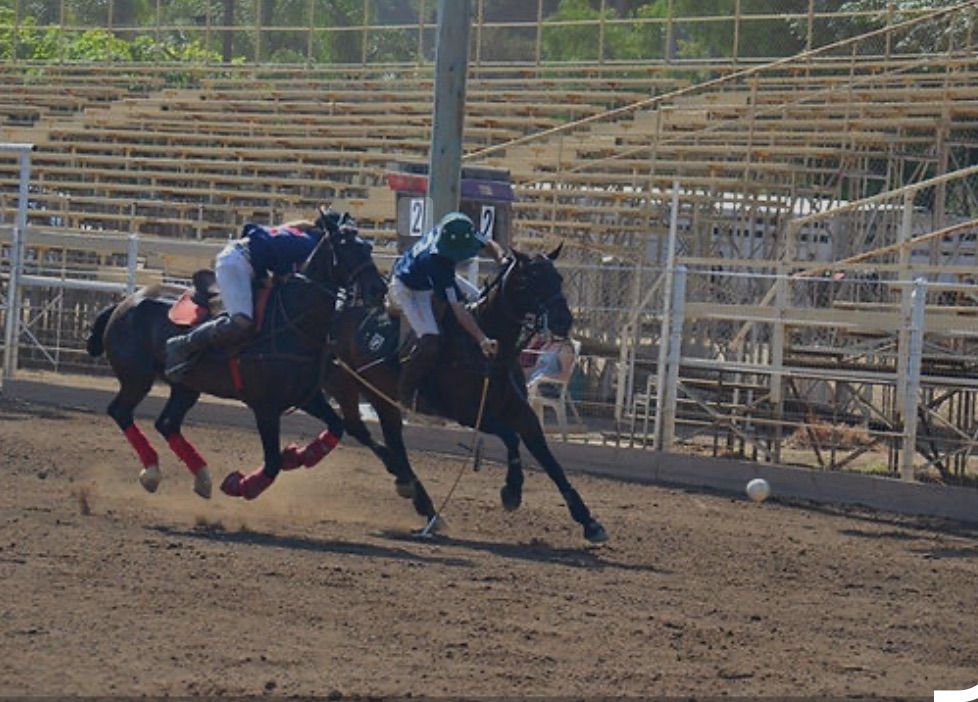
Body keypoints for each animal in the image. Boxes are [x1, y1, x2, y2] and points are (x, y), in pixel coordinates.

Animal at [85, 230, 388, 500]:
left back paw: (201, 476)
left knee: (167, 423)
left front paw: (299, 455)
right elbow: (272, 463)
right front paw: (242, 485)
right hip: (137, 378)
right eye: (346, 247)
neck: (293, 322)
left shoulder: (307, 396)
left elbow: (336, 427)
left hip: (186, 386)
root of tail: (123, 304)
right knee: (120, 411)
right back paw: (152, 471)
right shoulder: (265, 407)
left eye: (368, 247)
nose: (379, 289)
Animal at [324, 245, 608, 548]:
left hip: (380, 396)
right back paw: (410, 488)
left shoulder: (521, 412)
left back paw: (421, 501)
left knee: (391, 439)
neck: (487, 348)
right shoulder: (468, 413)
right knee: (358, 428)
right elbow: (511, 437)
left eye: (558, 278)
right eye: (531, 279)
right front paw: (512, 491)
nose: (563, 320)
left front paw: (590, 522)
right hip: (345, 387)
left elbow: (549, 460)